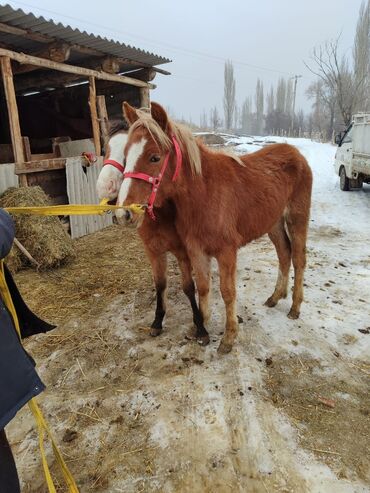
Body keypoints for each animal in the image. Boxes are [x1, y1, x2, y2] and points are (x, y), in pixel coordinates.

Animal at [96, 120, 211, 342]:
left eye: (126, 155)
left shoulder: (182, 252)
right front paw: (157, 321)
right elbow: (160, 284)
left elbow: (188, 286)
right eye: (105, 149)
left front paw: (200, 325)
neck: (161, 215)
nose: (105, 186)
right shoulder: (154, 251)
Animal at [115, 102, 312, 352]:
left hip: (297, 219)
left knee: (298, 258)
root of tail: (295, 153)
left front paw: (228, 337)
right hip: (274, 223)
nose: (124, 213)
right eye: (125, 156)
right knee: (284, 254)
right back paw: (276, 297)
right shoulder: (196, 250)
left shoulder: (226, 252)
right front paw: (201, 326)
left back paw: (295, 307)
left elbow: (227, 292)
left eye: (154, 157)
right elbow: (202, 287)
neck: (205, 194)